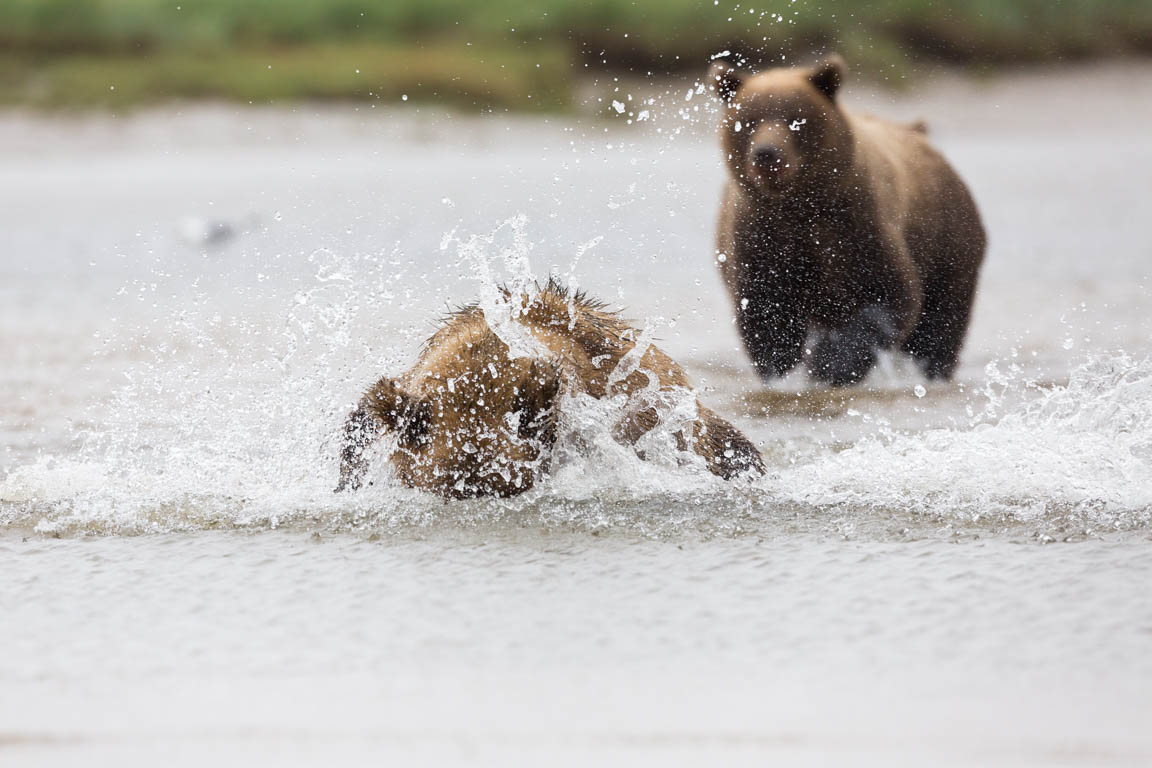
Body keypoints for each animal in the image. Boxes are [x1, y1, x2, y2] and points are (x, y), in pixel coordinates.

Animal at [705, 56, 986, 386]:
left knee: (940, 326)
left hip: (946, 243)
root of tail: (918, 132)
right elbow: (766, 312)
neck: (802, 206)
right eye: (748, 121)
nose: (766, 154)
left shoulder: (859, 224)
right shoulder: (763, 235)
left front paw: (830, 364)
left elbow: (890, 296)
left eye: (795, 119)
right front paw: (788, 369)